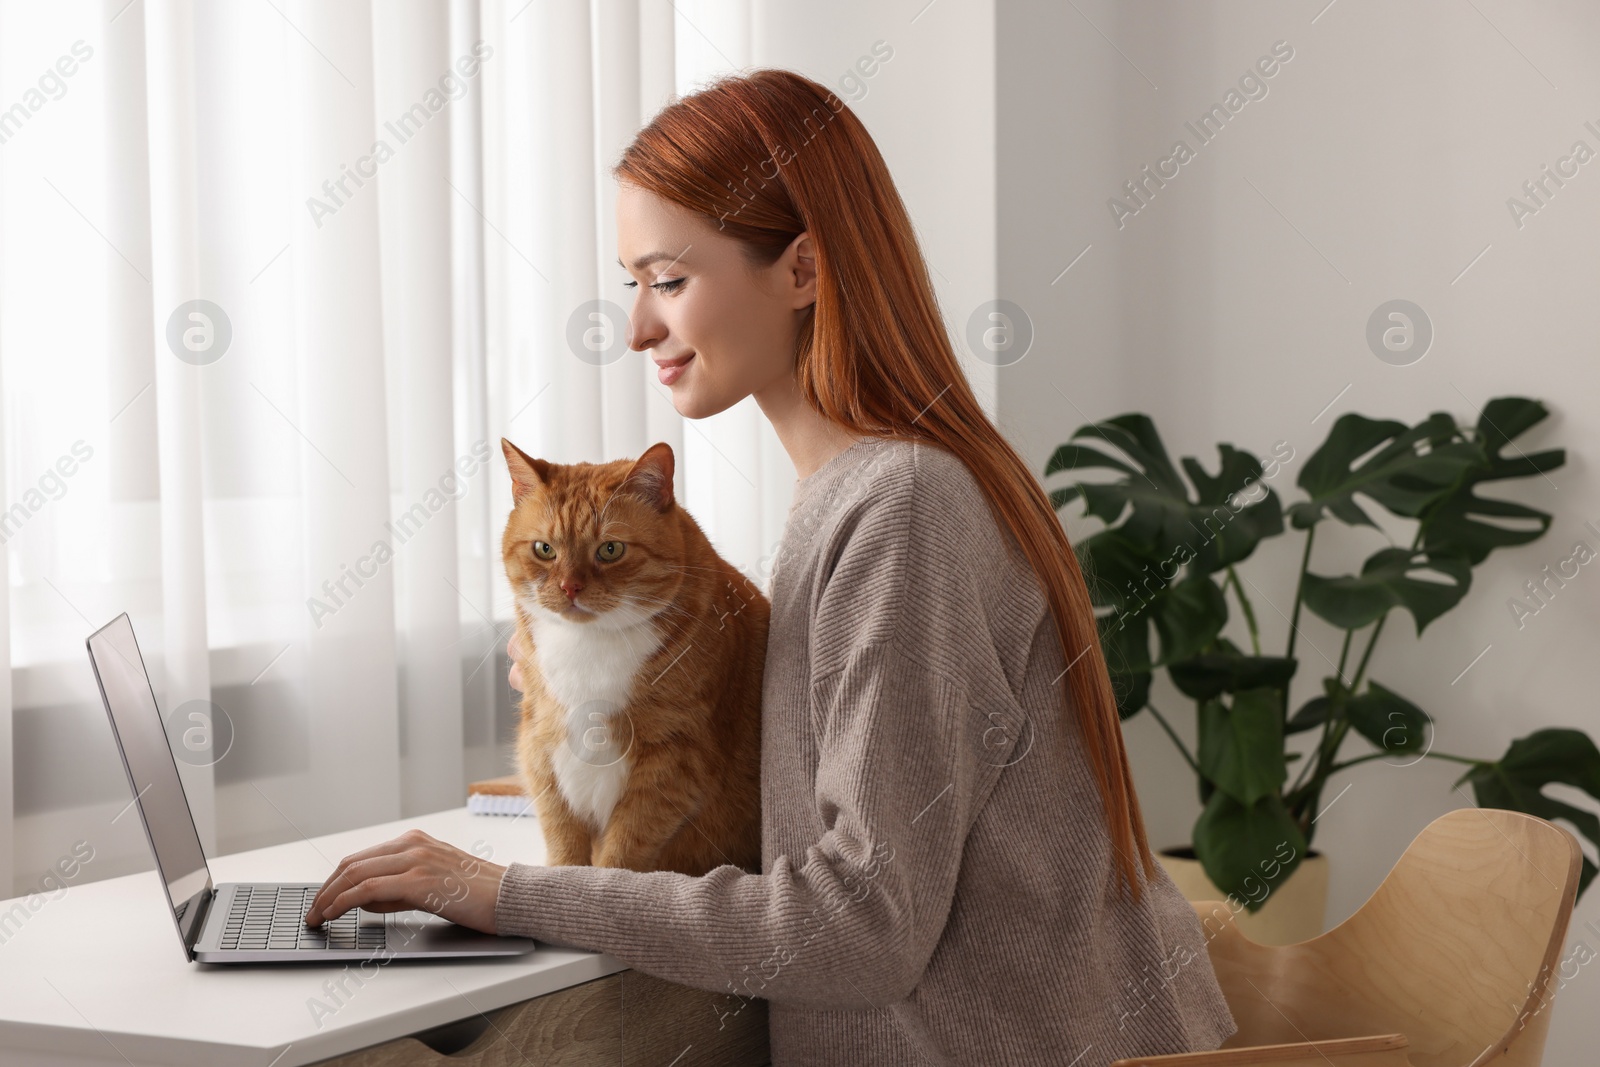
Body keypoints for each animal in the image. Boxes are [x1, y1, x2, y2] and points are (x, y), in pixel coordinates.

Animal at [502, 435, 771, 876]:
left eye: (610, 549)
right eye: (544, 549)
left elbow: (623, 852)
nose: (569, 587)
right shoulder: (541, 747)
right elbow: (563, 842)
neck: (589, 646)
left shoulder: (672, 761)